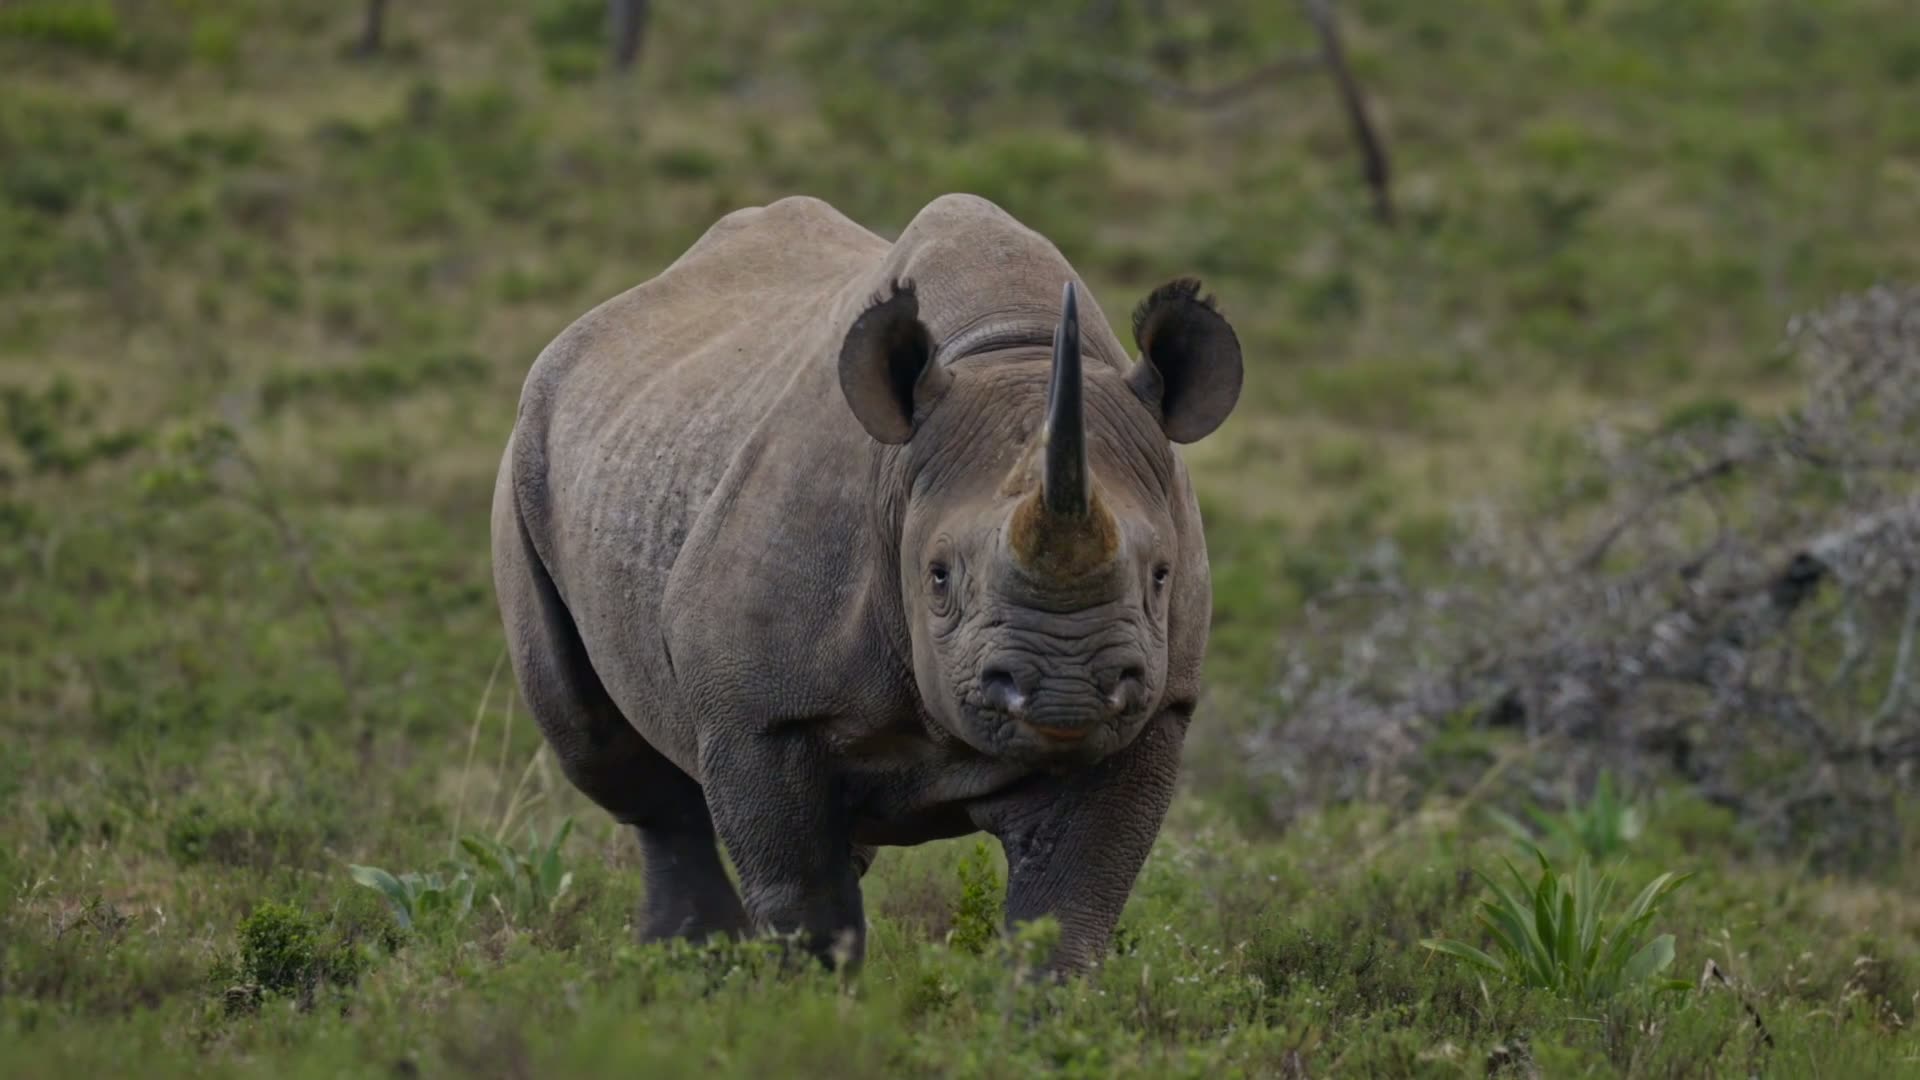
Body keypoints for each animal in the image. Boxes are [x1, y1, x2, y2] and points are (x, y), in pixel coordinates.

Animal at [491, 193, 1242, 975]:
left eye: (1161, 576)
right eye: (938, 578)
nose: (1066, 690)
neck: (1013, 353)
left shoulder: (1155, 709)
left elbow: (1069, 909)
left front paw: (1044, 1006)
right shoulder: (757, 714)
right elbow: (806, 906)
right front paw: (819, 1000)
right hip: (533, 446)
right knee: (604, 750)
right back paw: (686, 965)